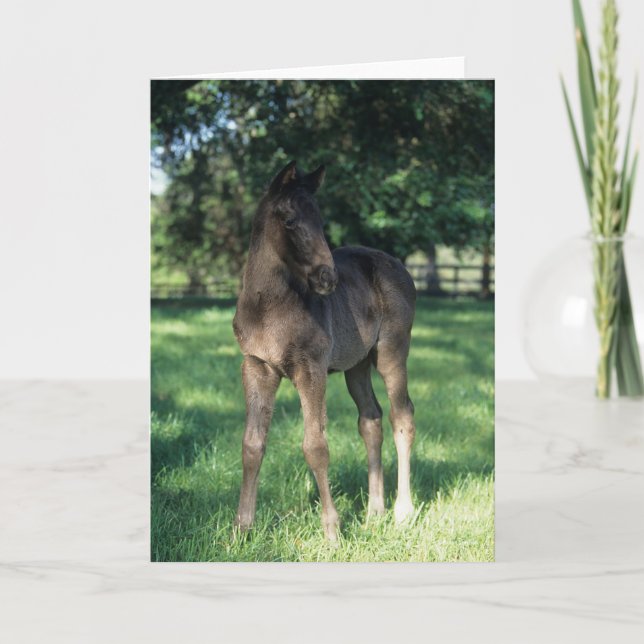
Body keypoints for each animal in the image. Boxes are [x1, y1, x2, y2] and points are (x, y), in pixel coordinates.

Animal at [232, 161, 417, 541]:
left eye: (319, 218)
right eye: (289, 219)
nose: (327, 278)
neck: (269, 307)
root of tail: (400, 267)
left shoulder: (311, 368)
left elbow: (315, 445)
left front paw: (332, 532)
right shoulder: (256, 366)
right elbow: (252, 444)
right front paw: (241, 530)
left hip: (392, 350)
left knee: (401, 415)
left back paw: (402, 512)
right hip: (357, 364)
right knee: (371, 419)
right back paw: (374, 512)